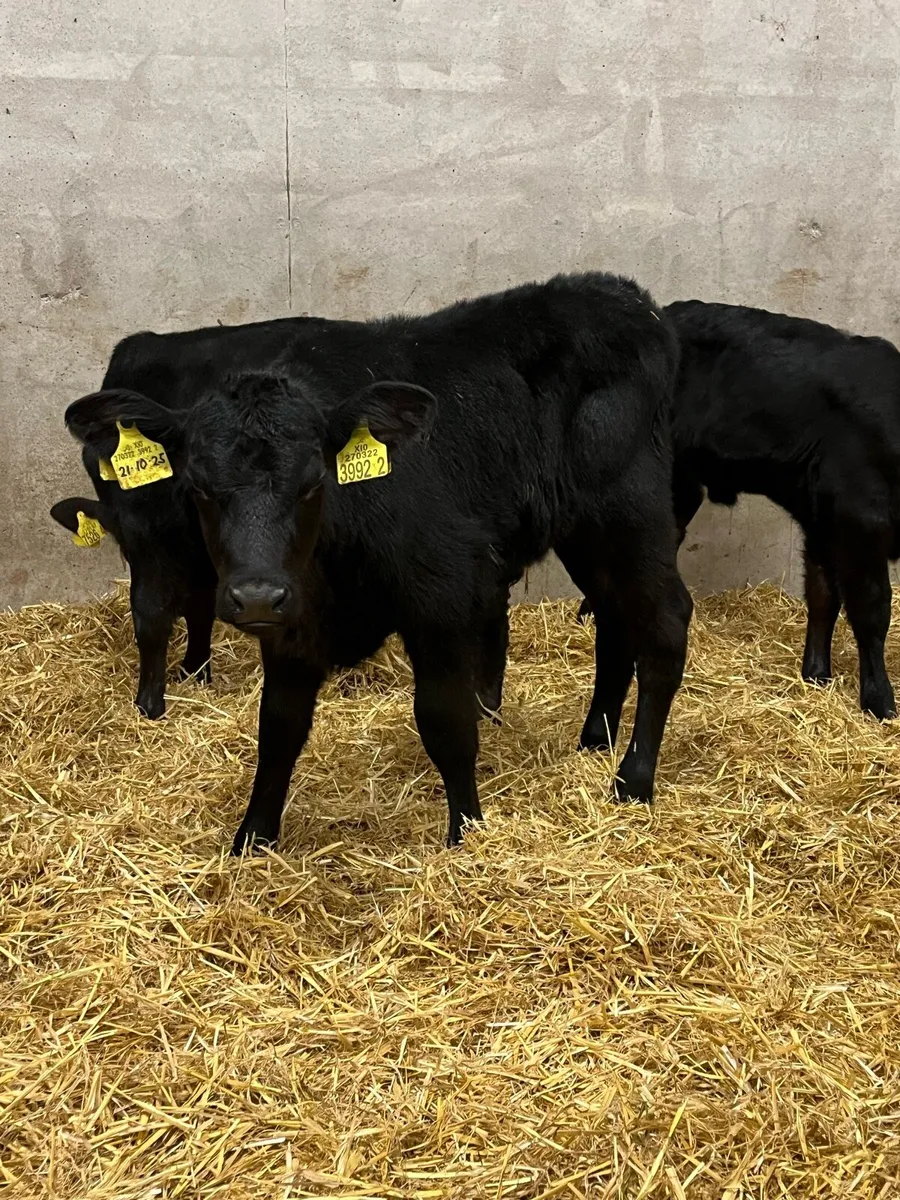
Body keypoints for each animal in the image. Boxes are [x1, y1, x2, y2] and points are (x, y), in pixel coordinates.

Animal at [580, 300, 900, 720]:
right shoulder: (858, 521)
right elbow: (871, 611)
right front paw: (879, 700)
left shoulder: (821, 521)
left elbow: (822, 596)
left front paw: (816, 674)